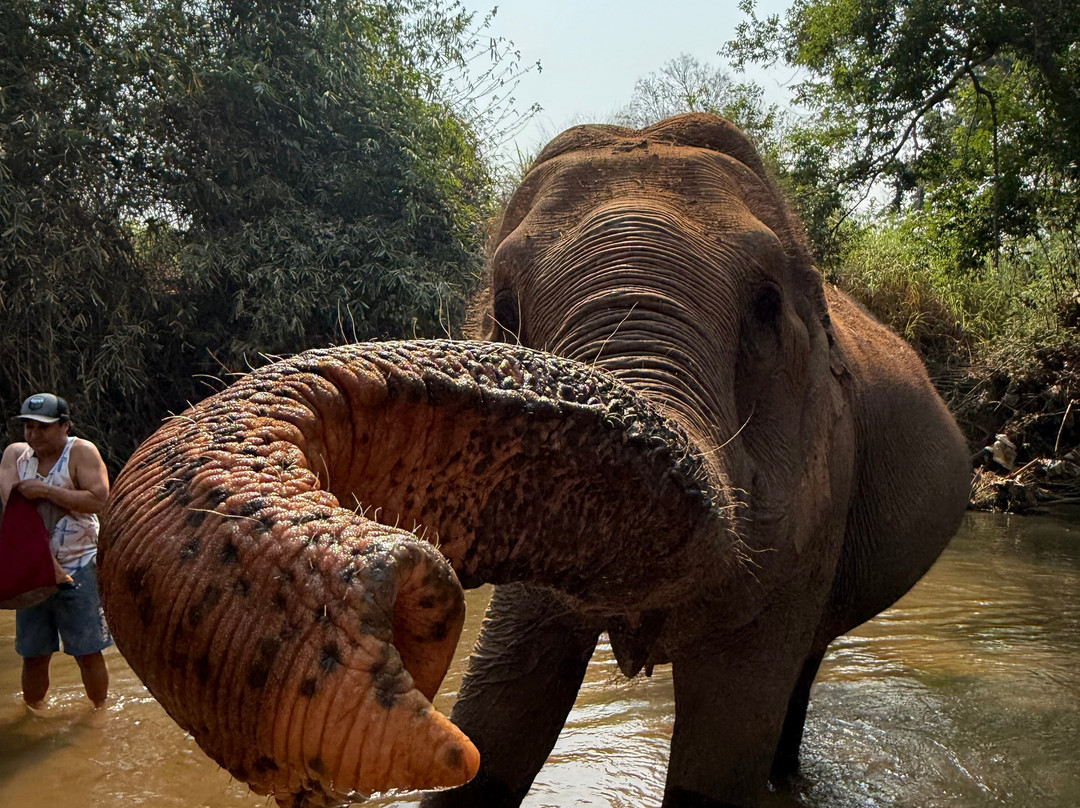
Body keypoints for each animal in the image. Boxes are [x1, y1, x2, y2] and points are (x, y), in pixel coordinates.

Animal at [98, 113, 971, 808]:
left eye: (766, 304)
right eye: (506, 307)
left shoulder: (818, 494)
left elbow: (721, 750)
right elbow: (503, 712)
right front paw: (473, 748)